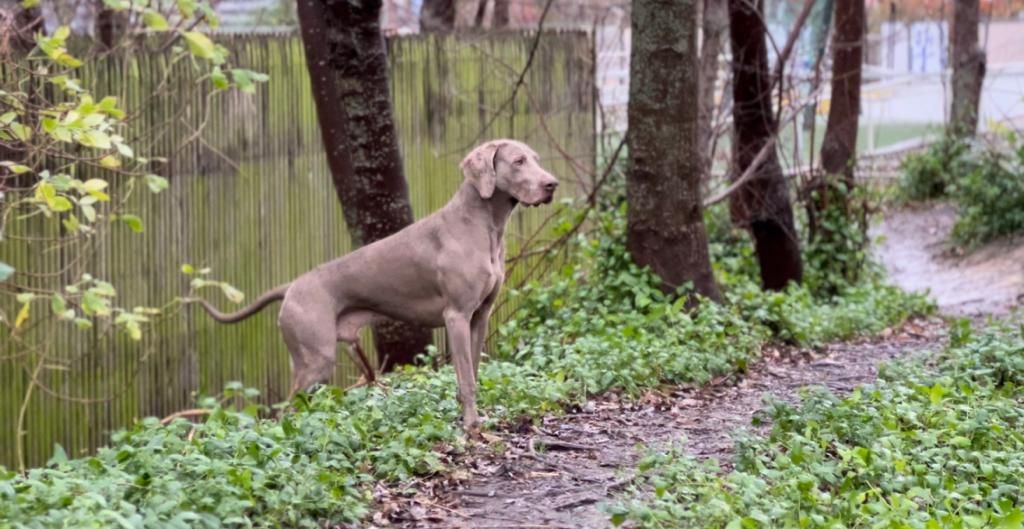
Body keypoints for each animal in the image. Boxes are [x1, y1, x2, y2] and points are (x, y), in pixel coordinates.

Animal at [192, 140, 561, 433]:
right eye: (518, 161)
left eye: (536, 158)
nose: (552, 184)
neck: (485, 225)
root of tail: (291, 286)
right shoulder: (456, 316)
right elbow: (467, 378)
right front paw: (472, 428)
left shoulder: (480, 316)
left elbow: (473, 371)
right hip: (316, 359)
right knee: (284, 410)